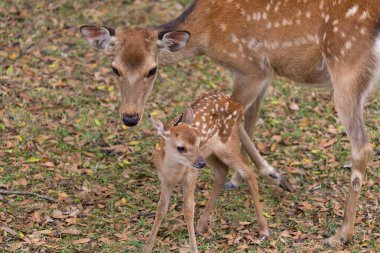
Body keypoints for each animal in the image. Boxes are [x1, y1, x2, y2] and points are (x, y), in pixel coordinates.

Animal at [78, 0, 378, 245]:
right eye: (114, 68)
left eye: (152, 70)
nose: (130, 117)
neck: (208, 32)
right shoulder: (265, 74)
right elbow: (249, 119)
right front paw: (246, 177)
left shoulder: (250, 68)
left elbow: (240, 118)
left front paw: (270, 176)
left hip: (346, 70)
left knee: (362, 146)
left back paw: (341, 235)